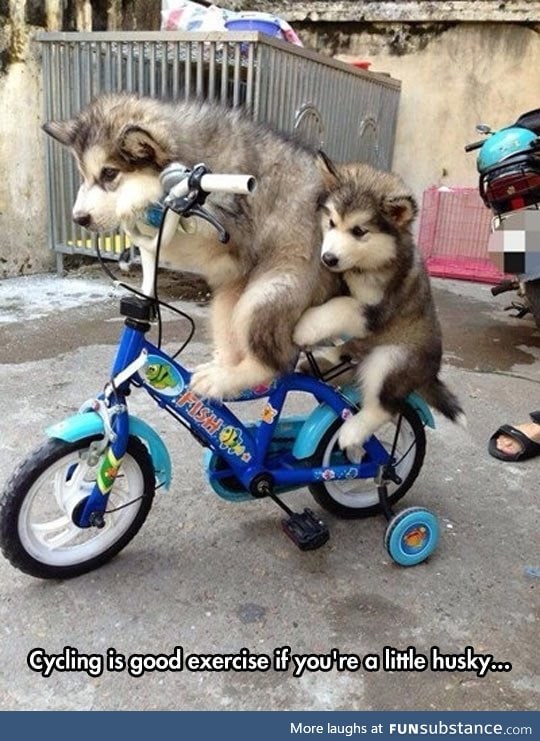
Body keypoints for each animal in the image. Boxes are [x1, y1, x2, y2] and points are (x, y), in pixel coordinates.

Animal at [43, 96, 338, 402]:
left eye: (109, 173)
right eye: (84, 176)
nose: (79, 219)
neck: (191, 154)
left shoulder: (229, 229)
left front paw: (133, 201)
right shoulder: (223, 256)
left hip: (270, 290)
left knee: (274, 364)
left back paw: (229, 379)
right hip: (230, 295)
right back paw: (220, 372)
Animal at [294, 158, 466, 450]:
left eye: (359, 231)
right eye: (331, 222)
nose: (328, 259)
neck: (366, 265)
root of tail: (430, 374)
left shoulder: (377, 310)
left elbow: (340, 306)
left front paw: (305, 326)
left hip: (390, 359)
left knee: (384, 406)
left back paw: (353, 431)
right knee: (350, 352)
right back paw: (328, 358)